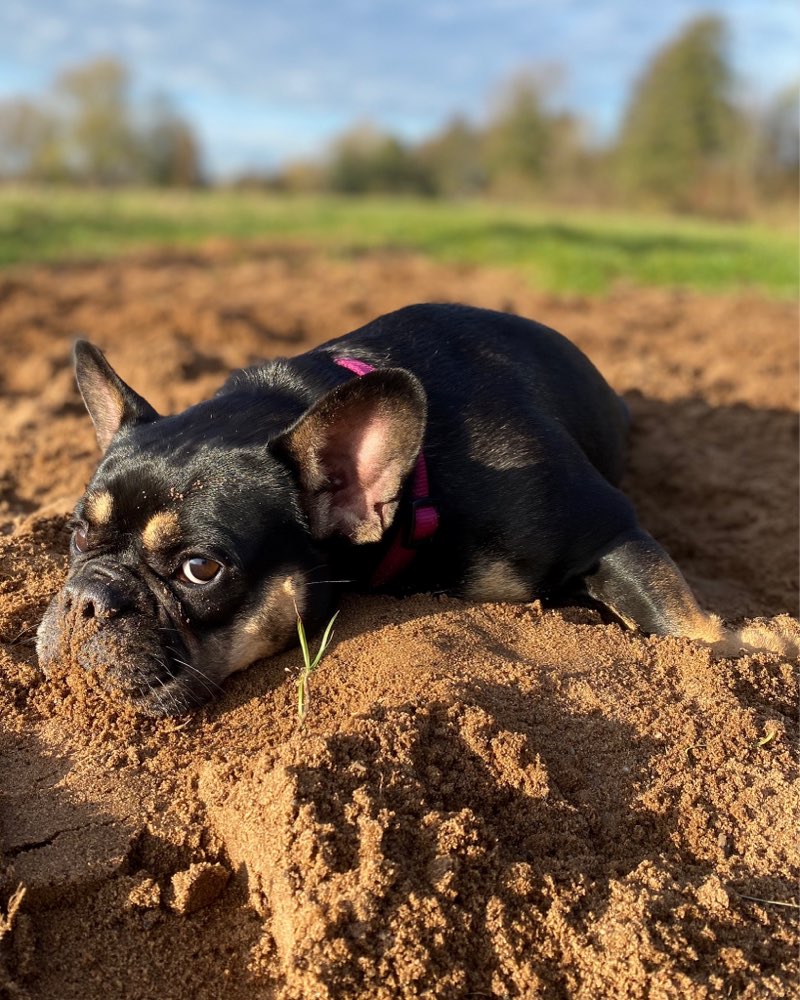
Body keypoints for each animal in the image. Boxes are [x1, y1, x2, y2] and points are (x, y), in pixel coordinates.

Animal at [36, 300, 792, 716]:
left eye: (200, 569)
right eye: (75, 534)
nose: (84, 599)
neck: (421, 476)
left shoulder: (609, 529)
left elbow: (678, 620)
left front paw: (749, 647)